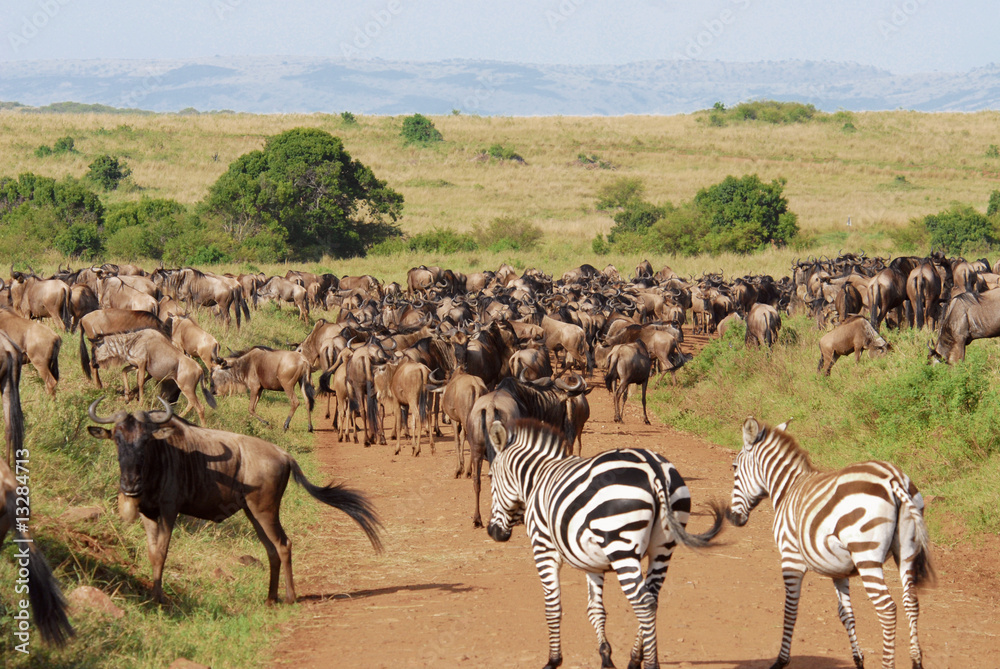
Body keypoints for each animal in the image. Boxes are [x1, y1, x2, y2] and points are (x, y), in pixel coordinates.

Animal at [482, 418, 720, 668]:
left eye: (489, 477)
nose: (493, 532)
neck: (537, 479)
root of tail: (653, 467)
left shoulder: (543, 546)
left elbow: (552, 605)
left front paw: (554, 659)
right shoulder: (591, 561)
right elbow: (595, 609)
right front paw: (605, 656)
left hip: (622, 546)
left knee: (643, 603)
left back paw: (649, 663)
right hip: (663, 548)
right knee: (653, 599)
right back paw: (635, 658)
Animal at [728, 418, 936, 668]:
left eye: (734, 468)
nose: (732, 518)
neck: (788, 489)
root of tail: (894, 477)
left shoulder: (790, 558)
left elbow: (790, 608)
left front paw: (781, 660)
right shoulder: (840, 570)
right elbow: (846, 613)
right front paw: (858, 659)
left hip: (866, 555)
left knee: (887, 609)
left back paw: (888, 663)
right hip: (906, 553)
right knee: (911, 603)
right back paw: (916, 660)